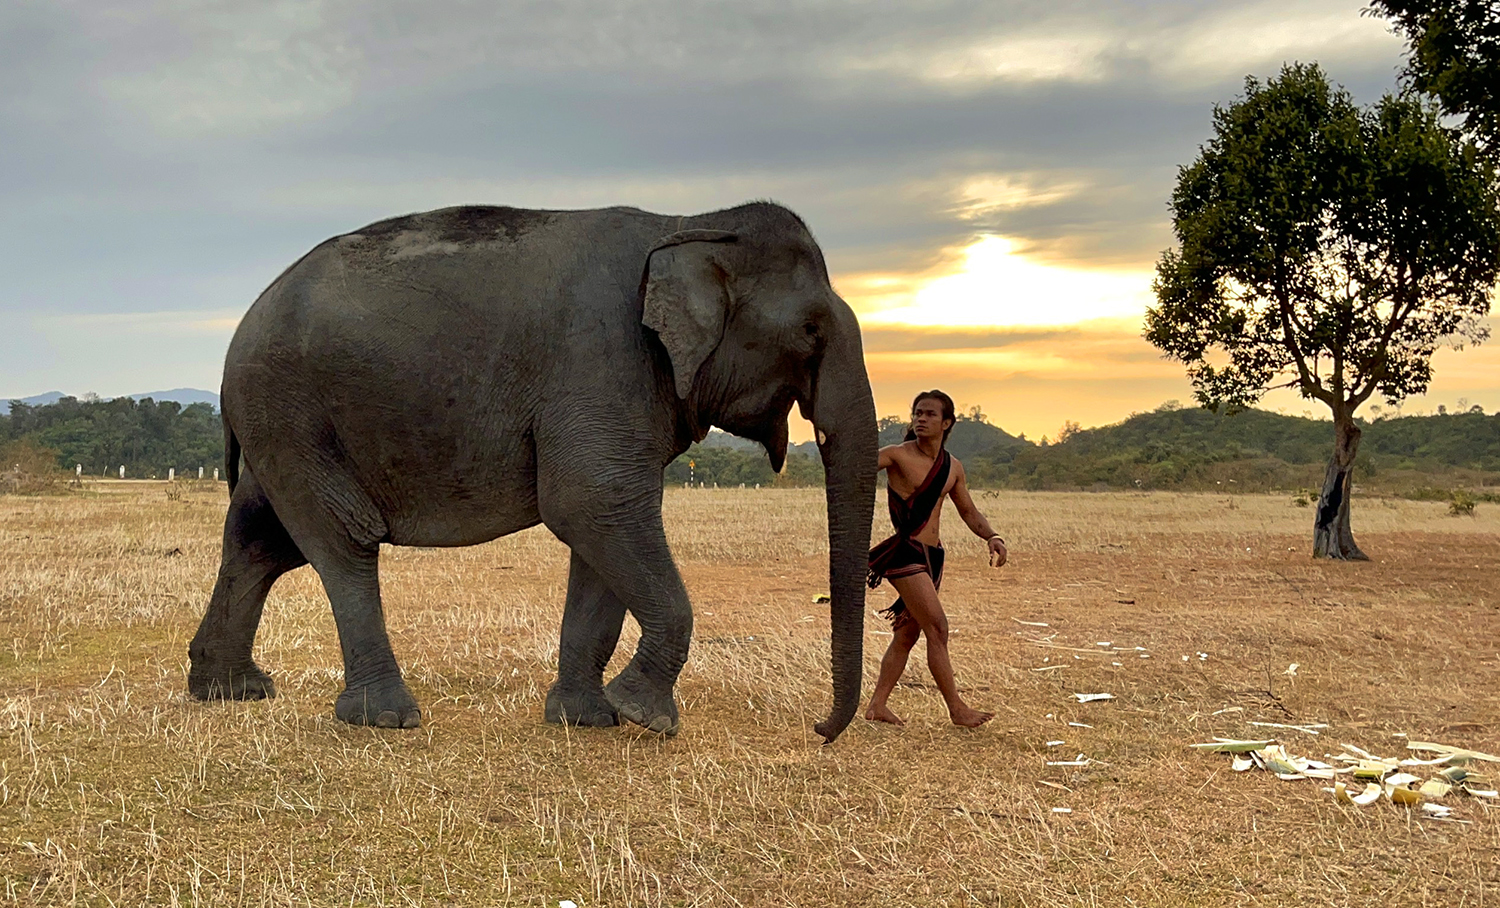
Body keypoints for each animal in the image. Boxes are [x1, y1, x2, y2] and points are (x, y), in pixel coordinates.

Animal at [184, 201, 876, 741]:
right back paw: (385, 718)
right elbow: (591, 503)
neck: (689, 225)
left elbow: (601, 529)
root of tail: (243, 323)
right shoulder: (604, 362)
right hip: (291, 411)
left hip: (283, 424)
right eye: (810, 331)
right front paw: (645, 716)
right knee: (343, 540)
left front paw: (587, 719)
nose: (821, 729)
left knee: (260, 541)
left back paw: (230, 690)